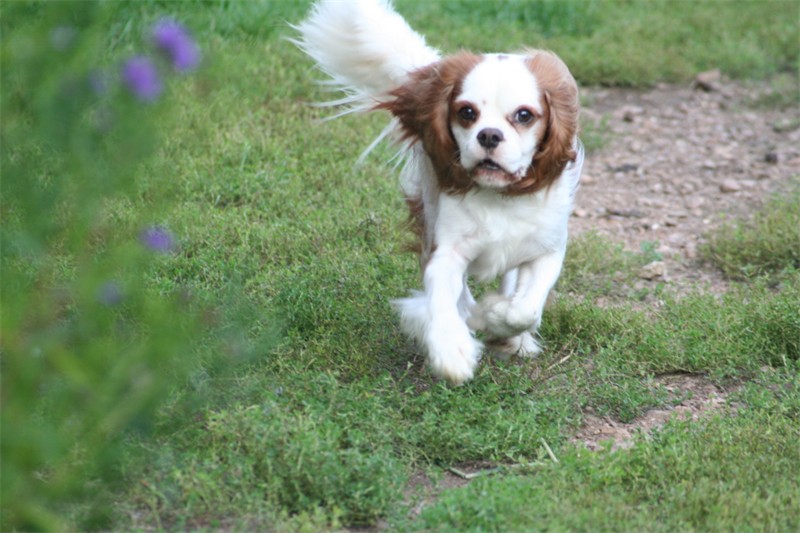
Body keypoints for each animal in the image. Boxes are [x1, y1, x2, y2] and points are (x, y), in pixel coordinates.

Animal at [294, 0, 580, 382]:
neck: (498, 196)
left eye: (524, 116)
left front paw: (499, 318)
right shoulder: (445, 250)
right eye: (467, 112)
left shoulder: (547, 251)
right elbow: (447, 297)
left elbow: (525, 309)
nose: (489, 135)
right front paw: (453, 348)